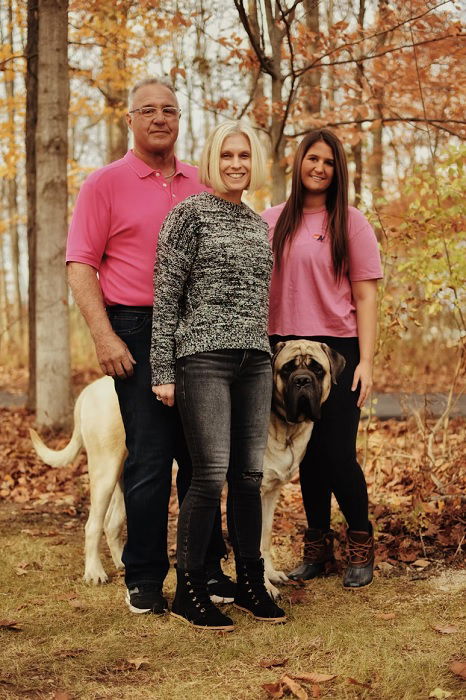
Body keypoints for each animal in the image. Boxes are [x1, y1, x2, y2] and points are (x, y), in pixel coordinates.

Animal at [28, 340, 342, 592]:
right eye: (287, 370)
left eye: (318, 370)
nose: (302, 381)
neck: (283, 426)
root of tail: (90, 389)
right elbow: (251, 543)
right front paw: (263, 588)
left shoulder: (270, 493)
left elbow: (263, 539)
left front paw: (271, 575)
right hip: (104, 471)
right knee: (92, 525)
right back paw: (95, 571)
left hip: (123, 476)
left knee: (112, 522)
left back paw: (122, 564)